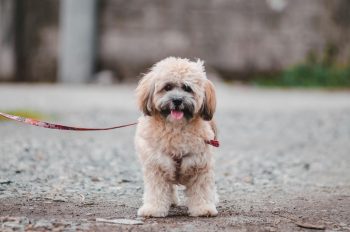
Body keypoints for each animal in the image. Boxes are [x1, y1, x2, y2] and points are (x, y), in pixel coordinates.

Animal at [135, 56, 219, 218]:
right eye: (167, 87)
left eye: (187, 88)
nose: (177, 100)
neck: (176, 129)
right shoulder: (157, 165)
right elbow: (157, 189)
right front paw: (154, 208)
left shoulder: (200, 165)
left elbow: (201, 189)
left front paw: (203, 208)